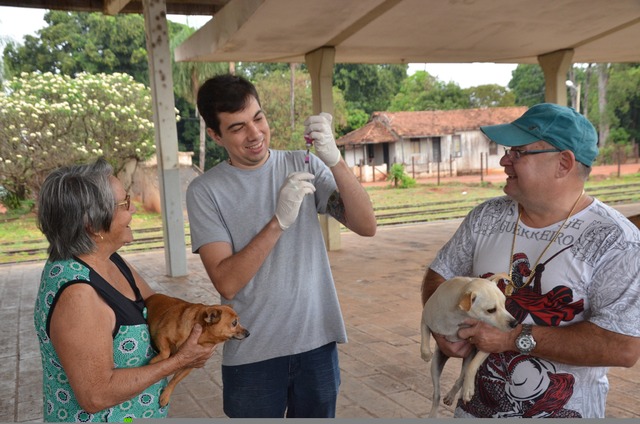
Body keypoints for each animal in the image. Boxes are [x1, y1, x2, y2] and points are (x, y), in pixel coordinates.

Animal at [420, 274, 520, 418]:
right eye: (491, 310)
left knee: (461, 377)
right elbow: (424, 339)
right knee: (436, 395)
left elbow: (472, 367)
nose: (515, 323)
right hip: (436, 366)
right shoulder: (425, 319)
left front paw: (468, 389)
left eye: (504, 304)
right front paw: (426, 355)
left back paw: (454, 394)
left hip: (466, 361)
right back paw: (433, 414)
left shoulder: (487, 343)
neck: (456, 319)